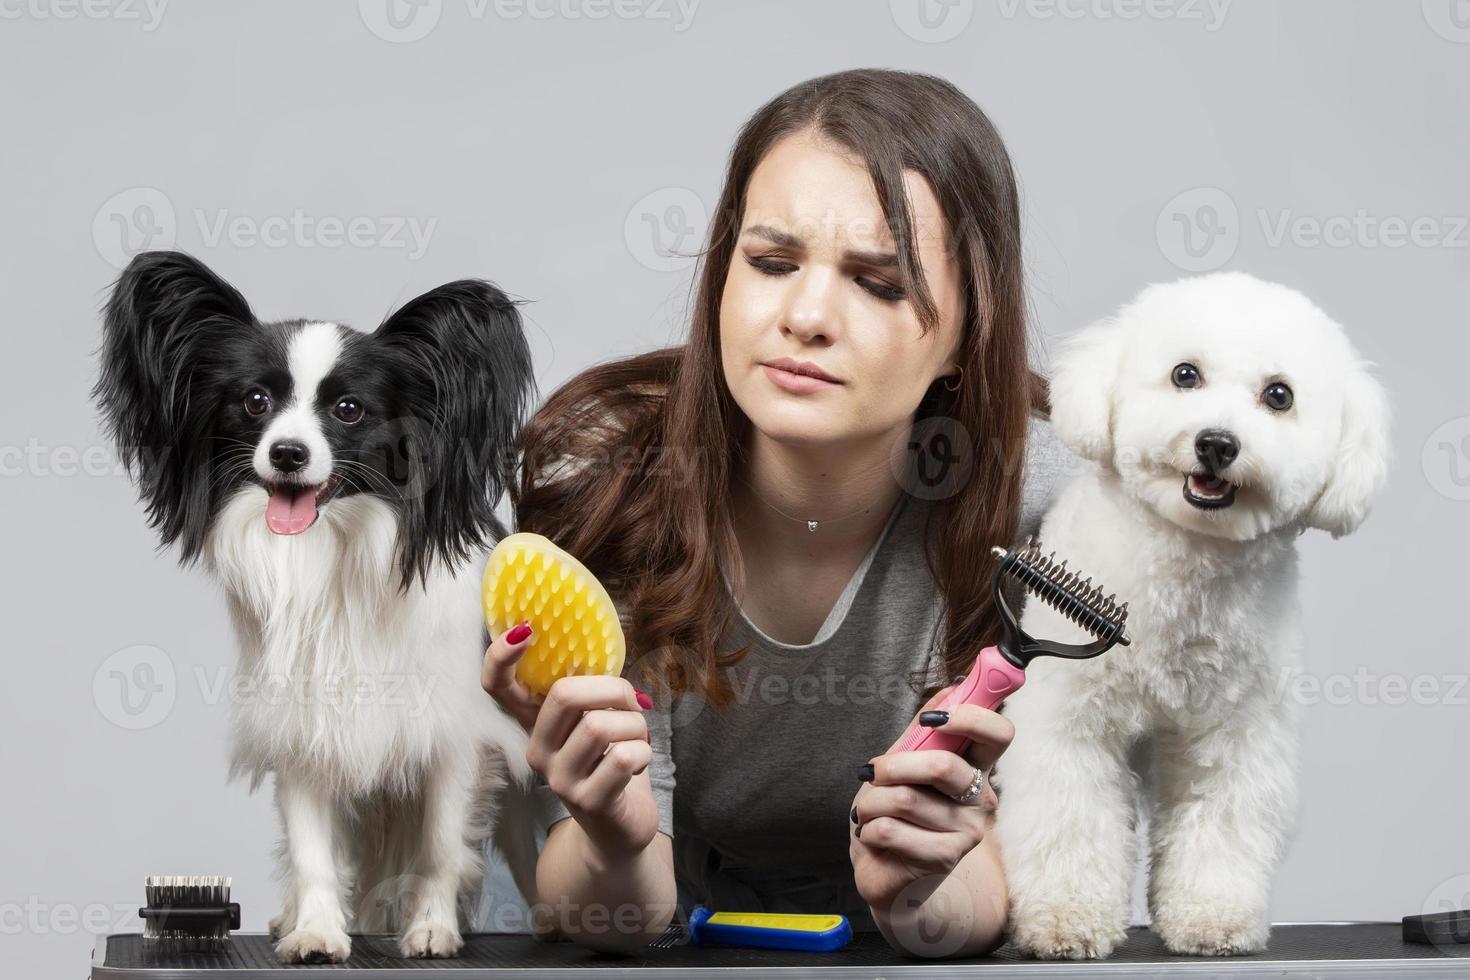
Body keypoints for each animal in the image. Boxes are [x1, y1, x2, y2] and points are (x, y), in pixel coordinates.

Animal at [99, 252, 546, 963]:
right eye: (255, 402)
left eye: (349, 409)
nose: (288, 453)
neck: (335, 553)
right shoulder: (303, 727)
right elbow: (313, 850)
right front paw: (314, 930)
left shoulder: (456, 737)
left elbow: (440, 844)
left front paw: (431, 928)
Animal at [993, 271, 1393, 963]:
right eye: (1185, 374)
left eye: (1279, 396)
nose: (1217, 442)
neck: (1186, 567)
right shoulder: (1069, 722)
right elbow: (1068, 814)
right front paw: (1068, 918)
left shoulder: (1236, 734)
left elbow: (1222, 820)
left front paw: (1211, 917)